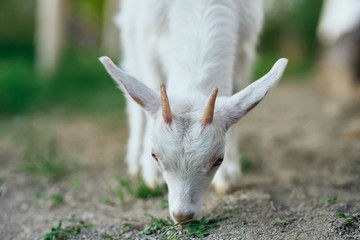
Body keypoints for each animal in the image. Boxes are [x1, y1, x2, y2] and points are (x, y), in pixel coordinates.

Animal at [99, 0, 286, 224]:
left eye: (219, 159)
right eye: (154, 155)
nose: (182, 215)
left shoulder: (244, 48)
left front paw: (228, 176)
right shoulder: (148, 41)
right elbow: (151, 86)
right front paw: (151, 174)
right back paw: (135, 164)